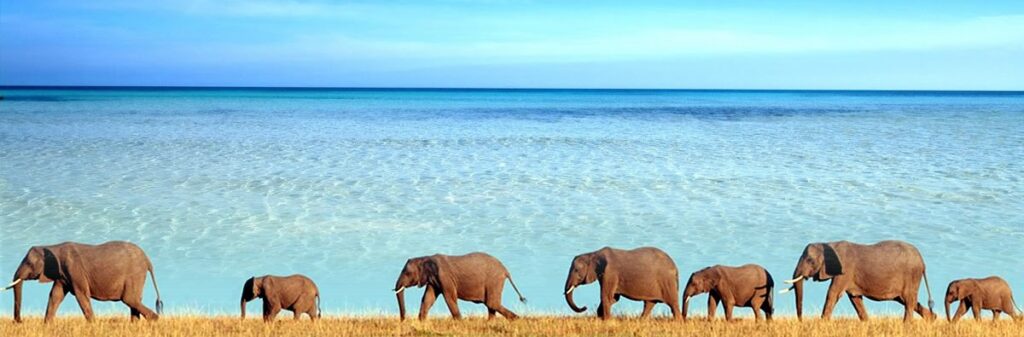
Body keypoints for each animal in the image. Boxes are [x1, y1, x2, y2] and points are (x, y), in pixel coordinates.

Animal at [3, 239, 161, 321]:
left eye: (29, 263)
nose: (19, 322)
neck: (52, 247)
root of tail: (148, 260)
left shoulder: (74, 270)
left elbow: (81, 295)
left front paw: (94, 326)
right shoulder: (63, 275)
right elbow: (55, 295)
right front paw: (47, 326)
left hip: (134, 273)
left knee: (129, 299)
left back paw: (154, 320)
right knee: (134, 301)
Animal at [393, 251, 528, 319]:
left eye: (407, 273)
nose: (403, 320)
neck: (425, 257)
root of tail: (506, 270)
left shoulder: (445, 277)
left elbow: (449, 297)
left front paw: (459, 321)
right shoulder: (433, 280)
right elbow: (428, 298)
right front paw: (421, 321)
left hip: (494, 280)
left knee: (491, 303)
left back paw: (517, 320)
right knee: (490, 304)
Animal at [774, 238, 937, 319]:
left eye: (810, 260)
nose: (800, 321)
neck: (830, 243)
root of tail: (923, 262)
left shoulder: (844, 272)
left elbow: (832, 294)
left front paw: (822, 322)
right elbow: (855, 299)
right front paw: (867, 323)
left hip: (912, 275)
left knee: (908, 301)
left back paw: (907, 325)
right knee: (908, 301)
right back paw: (932, 319)